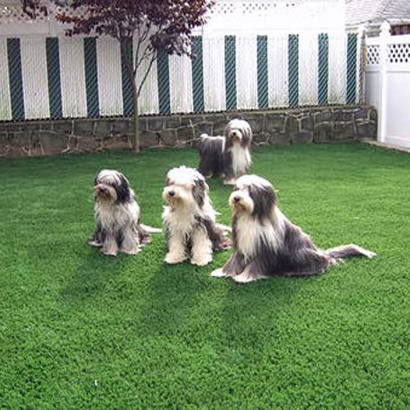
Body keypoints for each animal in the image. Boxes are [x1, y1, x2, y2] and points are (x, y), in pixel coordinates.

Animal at [211, 175, 374, 284]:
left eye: (251, 191)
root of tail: (319, 251)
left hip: (300, 253)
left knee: (321, 264)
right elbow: (234, 260)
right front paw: (222, 272)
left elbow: (255, 264)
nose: (236, 198)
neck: (250, 217)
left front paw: (244, 277)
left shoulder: (264, 247)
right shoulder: (241, 242)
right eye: (237, 189)